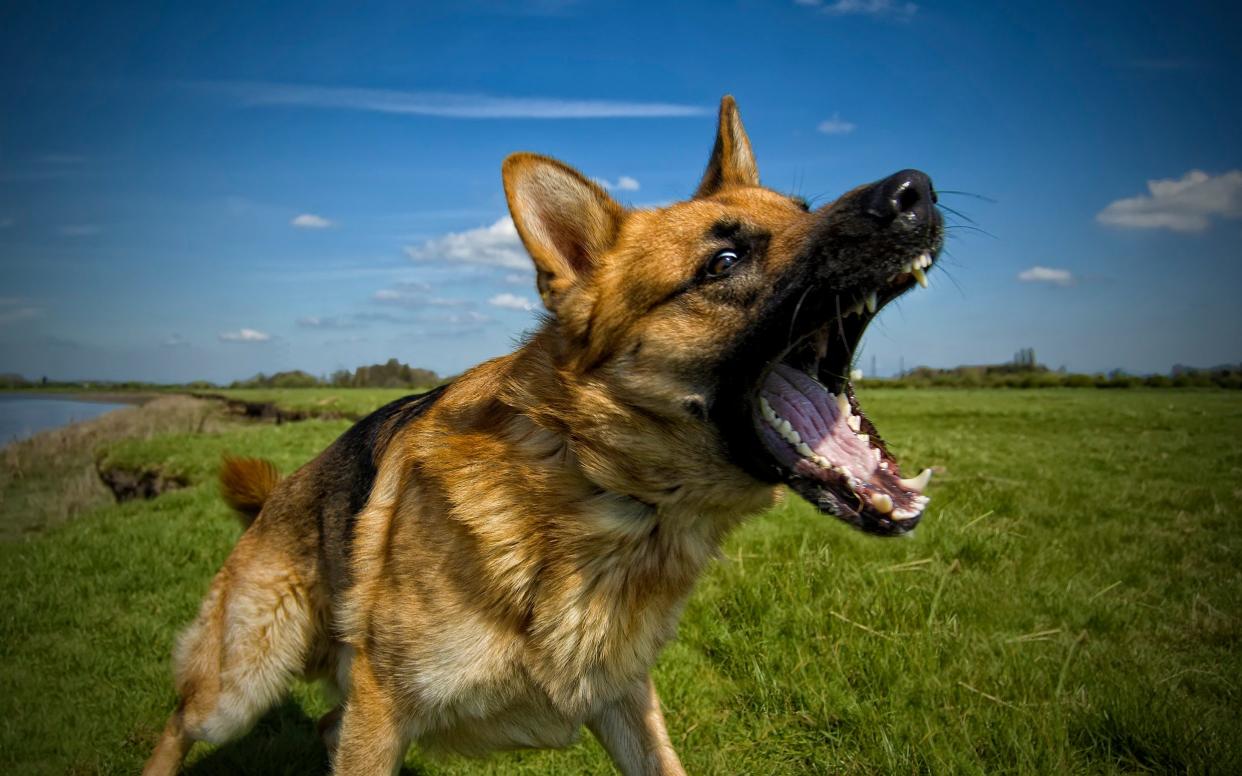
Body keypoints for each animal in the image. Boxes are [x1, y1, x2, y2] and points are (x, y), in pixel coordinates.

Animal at [142, 96, 938, 774]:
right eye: (724, 263)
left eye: (804, 209)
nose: (915, 190)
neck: (598, 487)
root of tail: (280, 494)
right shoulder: (382, 705)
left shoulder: (624, 702)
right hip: (242, 683)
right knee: (181, 721)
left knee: (319, 725)